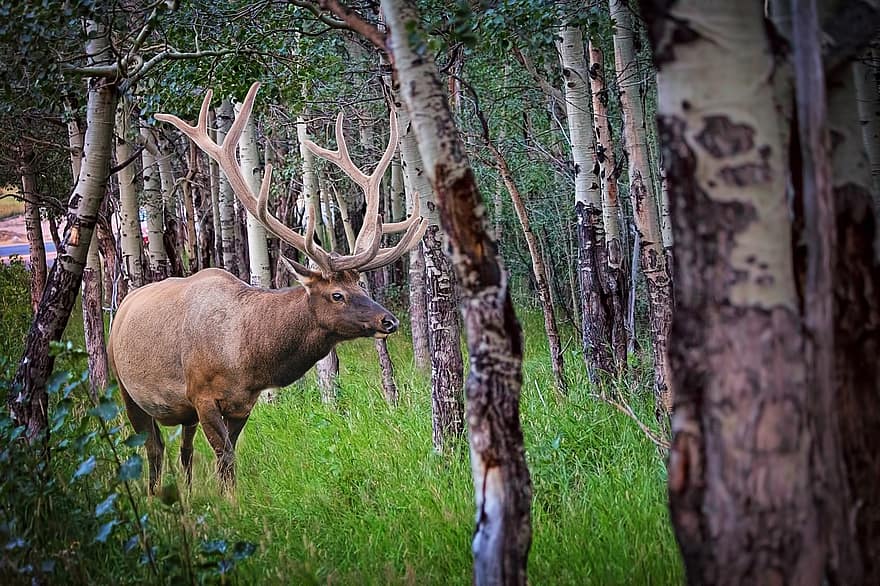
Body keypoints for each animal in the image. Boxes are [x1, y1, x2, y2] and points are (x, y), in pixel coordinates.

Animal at [108, 83, 424, 492]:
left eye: (361, 286)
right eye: (337, 294)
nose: (389, 321)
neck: (245, 358)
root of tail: (122, 308)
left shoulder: (242, 403)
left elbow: (227, 458)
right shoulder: (201, 394)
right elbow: (225, 459)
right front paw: (231, 503)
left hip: (181, 411)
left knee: (184, 451)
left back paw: (186, 496)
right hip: (125, 387)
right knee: (153, 448)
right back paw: (153, 496)